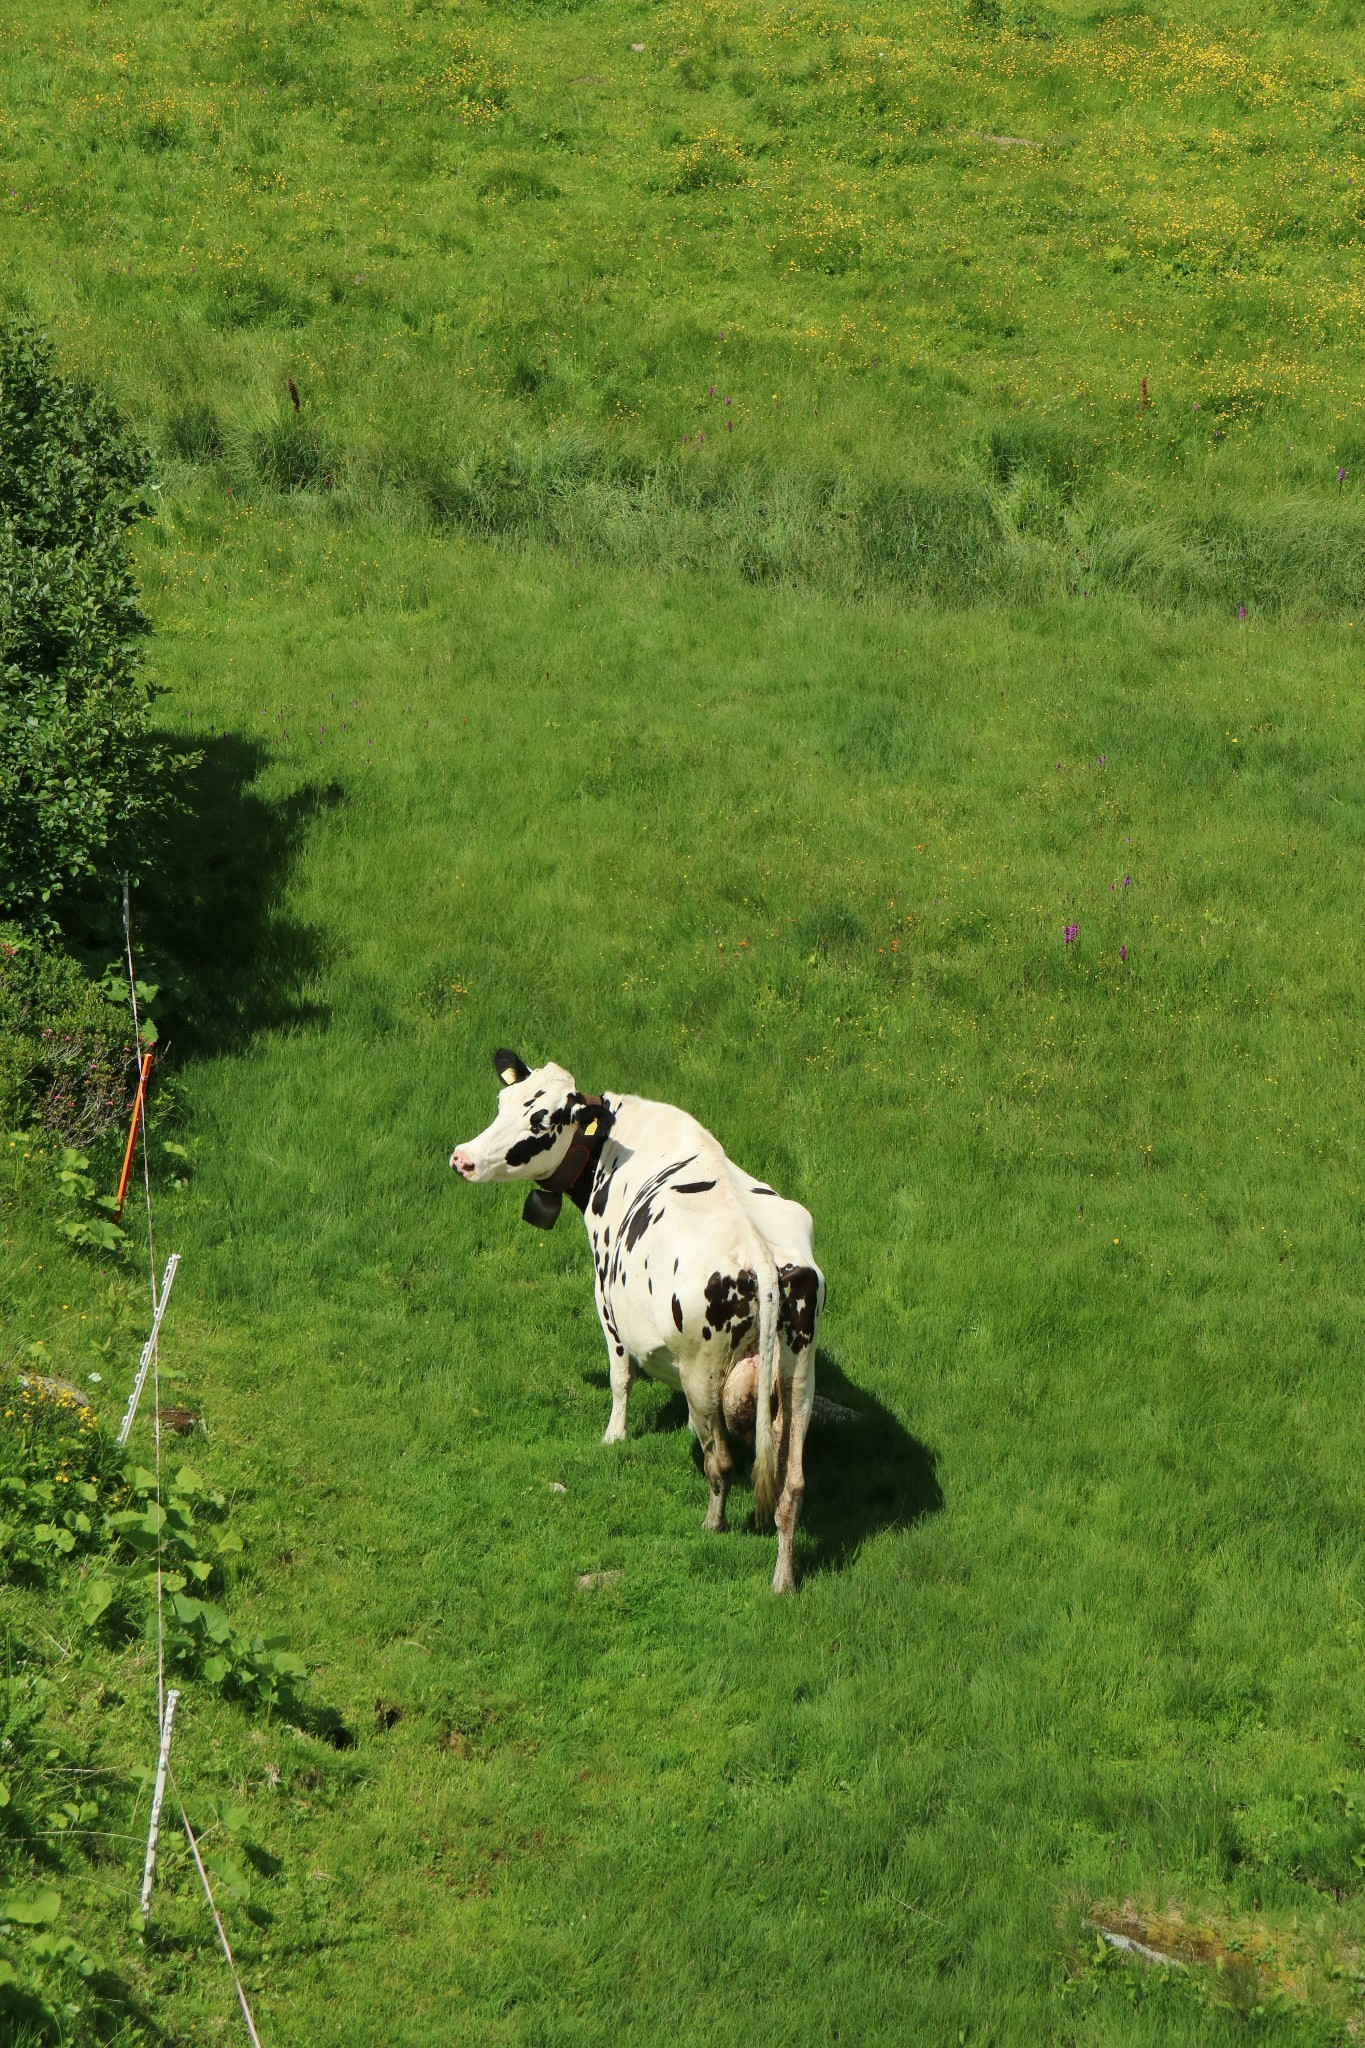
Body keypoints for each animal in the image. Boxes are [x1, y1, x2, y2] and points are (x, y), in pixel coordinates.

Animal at [454, 1056, 826, 1597]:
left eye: (539, 1122)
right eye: (503, 1102)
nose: (461, 1158)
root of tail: (758, 1253)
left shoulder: (606, 1301)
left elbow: (620, 1377)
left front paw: (614, 1436)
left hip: (702, 1370)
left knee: (719, 1462)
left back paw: (711, 1526)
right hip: (798, 1373)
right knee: (791, 1483)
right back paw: (783, 1581)